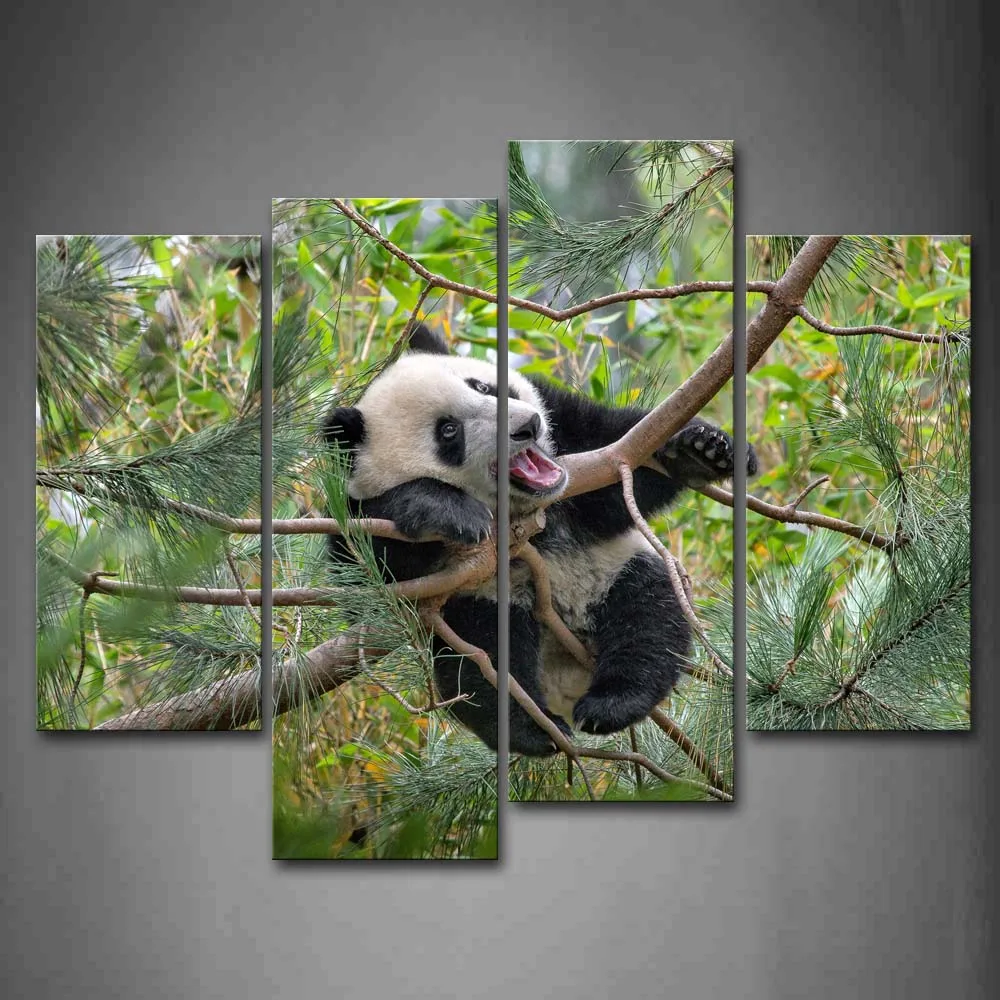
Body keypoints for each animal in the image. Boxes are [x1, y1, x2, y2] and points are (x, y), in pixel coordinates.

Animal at [324, 325, 756, 756]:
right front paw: (444, 508)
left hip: (620, 567)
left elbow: (615, 456)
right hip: (480, 608)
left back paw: (613, 702)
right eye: (448, 431)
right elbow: (363, 582)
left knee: (648, 618)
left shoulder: (568, 429)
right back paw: (535, 728)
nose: (526, 427)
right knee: (484, 664)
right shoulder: (351, 506)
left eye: (482, 386)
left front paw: (700, 450)